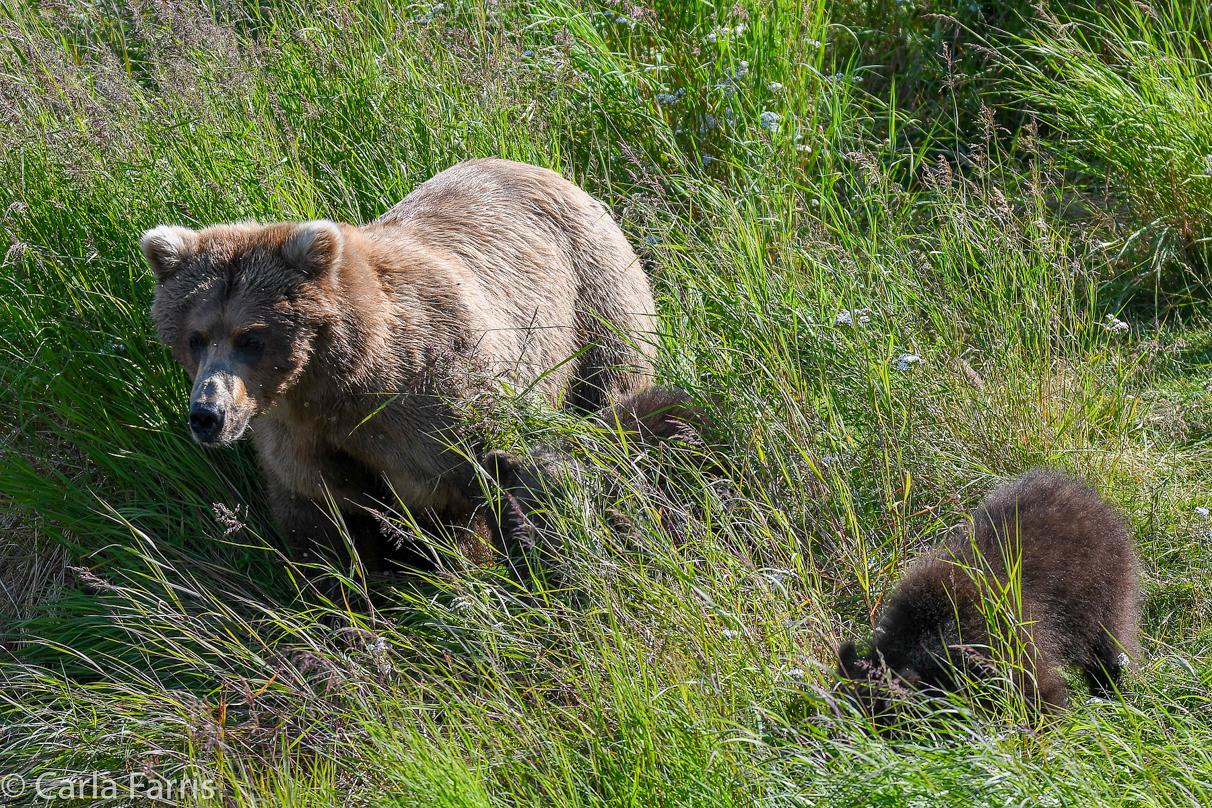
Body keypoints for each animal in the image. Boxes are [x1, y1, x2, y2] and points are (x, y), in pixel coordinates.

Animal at [145, 157, 659, 569]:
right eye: (195, 337)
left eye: (251, 337)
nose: (207, 415)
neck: (336, 384)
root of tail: (550, 172)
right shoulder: (297, 438)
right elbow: (321, 527)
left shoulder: (431, 405)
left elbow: (466, 503)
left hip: (593, 298)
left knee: (610, 390)